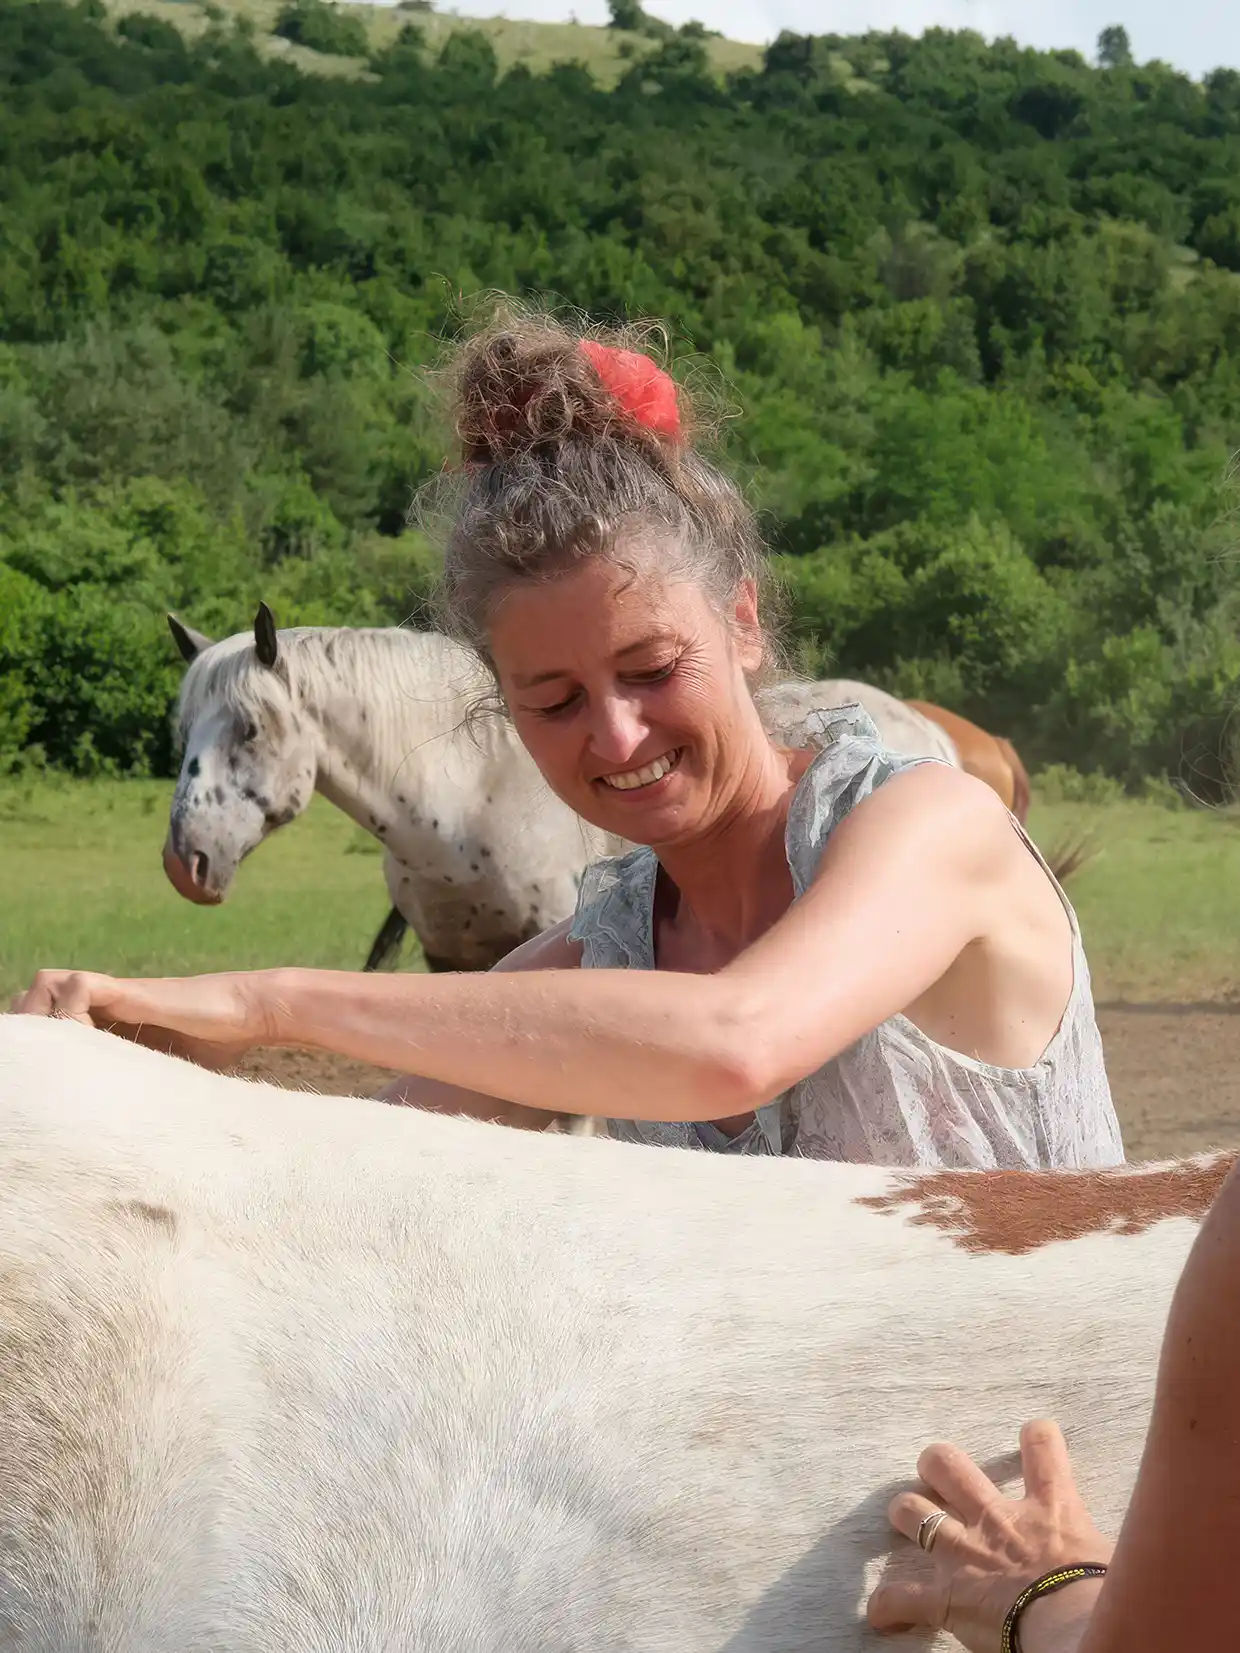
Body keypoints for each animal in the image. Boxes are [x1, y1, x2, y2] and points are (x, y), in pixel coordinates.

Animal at [162, 611, 959, 974]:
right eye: (183, 728)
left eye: (250, 728)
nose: (184, 863)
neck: (466, 799)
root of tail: (926, 726)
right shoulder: (451, 962)